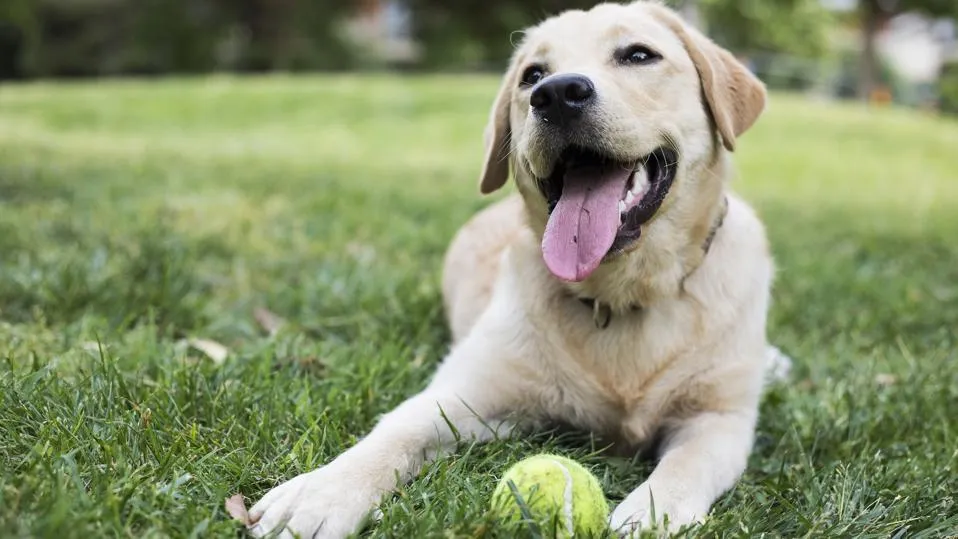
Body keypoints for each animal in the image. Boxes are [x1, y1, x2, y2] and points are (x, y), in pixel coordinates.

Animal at [251, 2, 792, 536]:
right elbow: (397, 430)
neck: (620, 294)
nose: (556, 94)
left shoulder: (719, 419)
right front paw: (320, 493)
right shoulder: (469, 394)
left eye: (639, 55)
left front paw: (653, 510)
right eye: (532, 75)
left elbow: (687, 464)